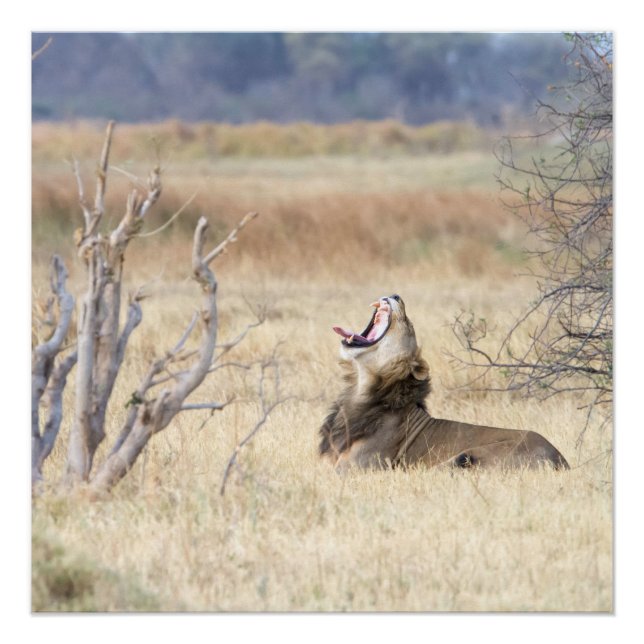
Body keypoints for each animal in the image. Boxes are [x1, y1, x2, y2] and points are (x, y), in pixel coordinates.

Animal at [320, 294, 569, 471]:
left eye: (409, 324)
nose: (395, 295)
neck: (361, 389)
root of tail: (560, 460)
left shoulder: (355, 468)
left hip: (463, 457)